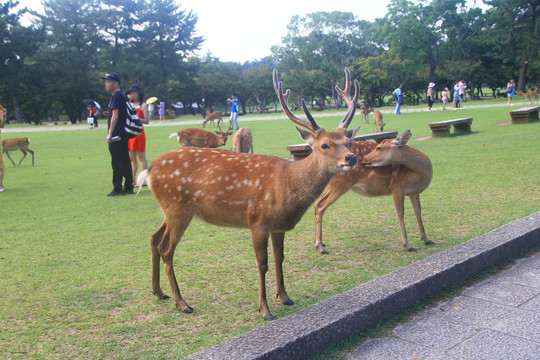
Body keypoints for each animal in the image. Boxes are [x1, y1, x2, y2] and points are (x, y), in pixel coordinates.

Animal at [137, 68, 360, 320]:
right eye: (324, 145)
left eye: (348, 141)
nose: (352, 158)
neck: (288, 184)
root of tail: (149, 172)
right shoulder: (258, 221)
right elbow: (262, 264)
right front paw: (264, 309)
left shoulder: (278, 226)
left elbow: (280, 258)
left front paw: (285, 297)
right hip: (178, 207)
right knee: (166, 250)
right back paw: (182, 303)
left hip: (170, 208)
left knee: (154, 239)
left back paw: (158, 292)